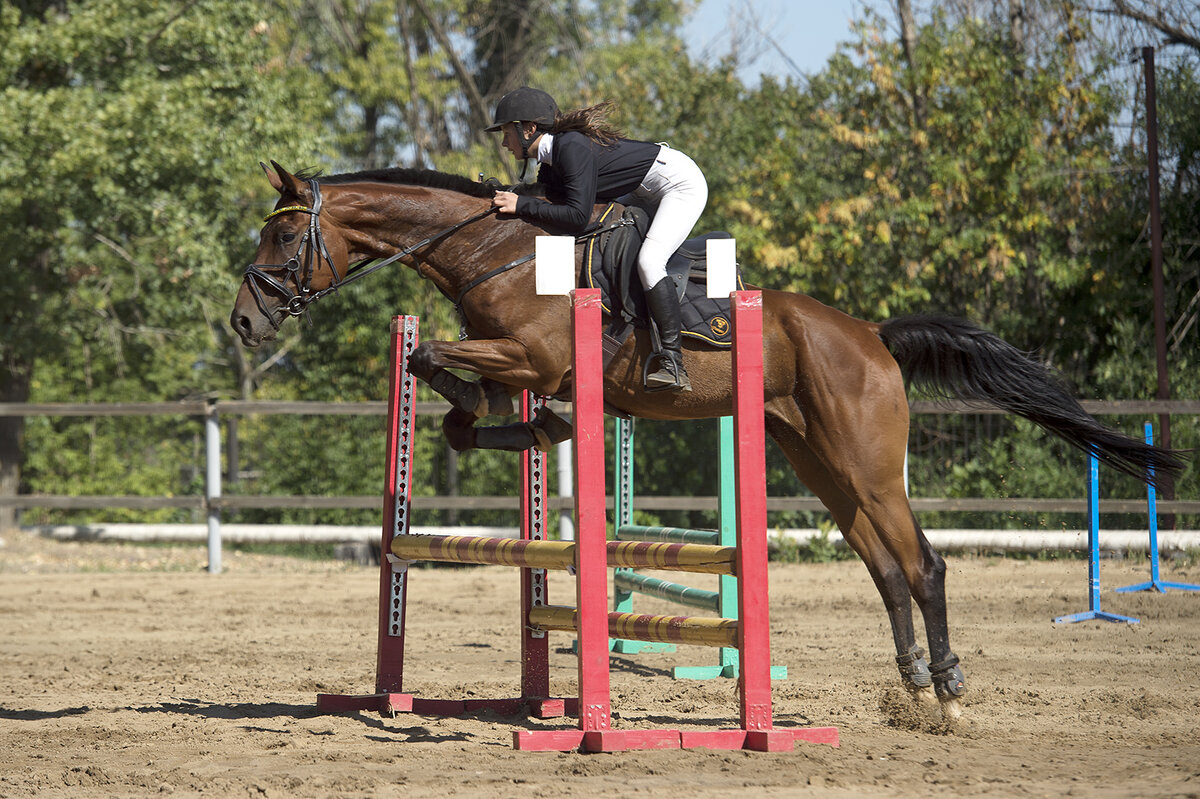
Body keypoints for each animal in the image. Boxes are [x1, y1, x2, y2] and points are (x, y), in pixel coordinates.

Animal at [229, 160, 1185, 719]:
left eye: (283, 231)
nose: (244, 321)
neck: (502, 247)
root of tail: (872, 334)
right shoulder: (521, 360)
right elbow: (471, 398)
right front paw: (526, 424)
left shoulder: (534, 352)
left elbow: (435, 358)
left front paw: (509, 417)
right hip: (819, 463)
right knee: (884, 568)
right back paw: (912, 683)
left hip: (869, 466)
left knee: (923, 563)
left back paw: (948, 691)